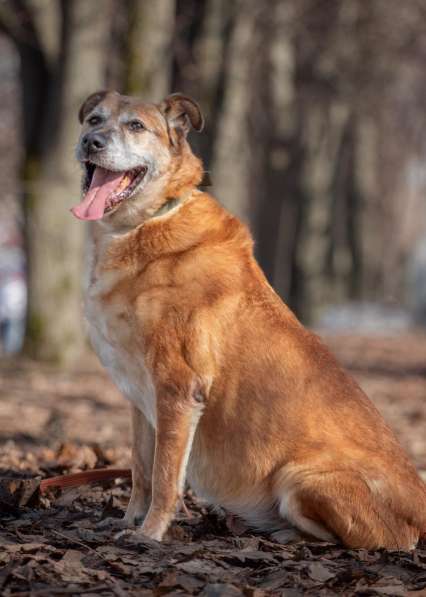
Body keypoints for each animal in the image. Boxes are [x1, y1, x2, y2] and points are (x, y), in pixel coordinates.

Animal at [70, 89, 426, 548]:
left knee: (361, 539)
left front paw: (150, 534)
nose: (91, 142)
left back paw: (281, 531)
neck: (148, 220)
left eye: (136, 126)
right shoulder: (139, 399)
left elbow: (165, 475)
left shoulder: (177, 389)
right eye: (94, 119)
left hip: (298, 478)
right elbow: (142, 470)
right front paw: (130, 520)